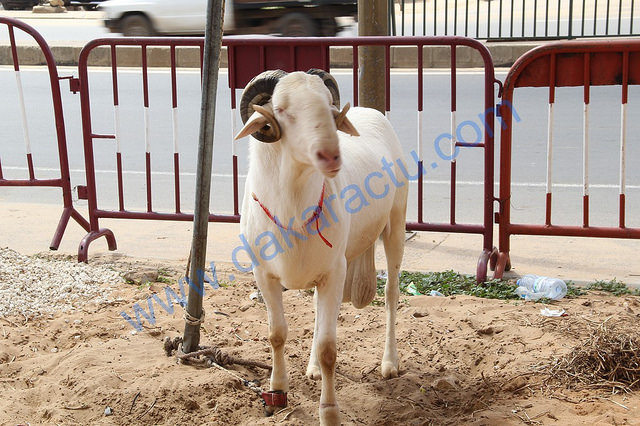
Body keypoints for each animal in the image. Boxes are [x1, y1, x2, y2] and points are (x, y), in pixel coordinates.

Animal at [235, 69, 408, 425]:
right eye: (282, 110)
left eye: (329, 109)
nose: (331, 156)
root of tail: (370, 110)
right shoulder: (264, 274)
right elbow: (276, 334)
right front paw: (277, 392)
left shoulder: (334, 271)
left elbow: (330, 349)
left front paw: (329, 413)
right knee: (316, 309)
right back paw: (312, 368)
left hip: (395, 224)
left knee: (391, 295)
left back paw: (389, 363)